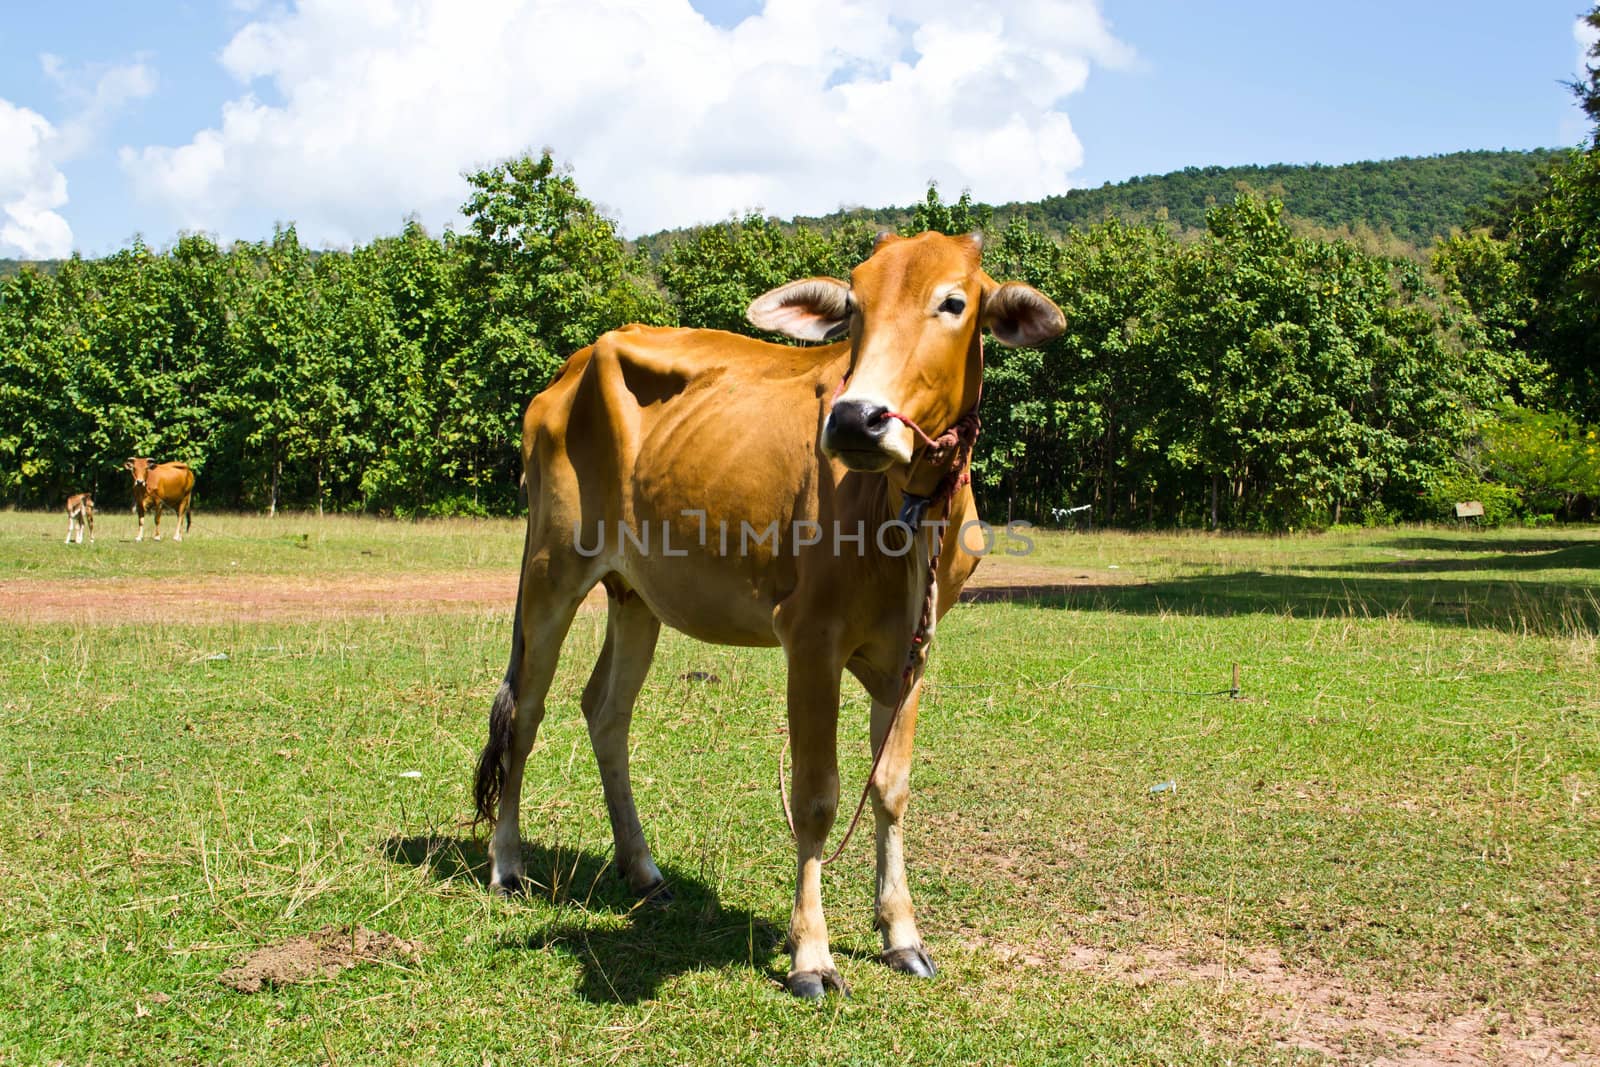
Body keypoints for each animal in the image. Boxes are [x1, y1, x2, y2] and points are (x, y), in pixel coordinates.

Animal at [476, 230, 1062, 998]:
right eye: (854, 306)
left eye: (954, 302)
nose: (855, 418)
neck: (906, 514)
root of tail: (571, 367)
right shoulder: (809, 638)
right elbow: (816, 796)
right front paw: (811, 953)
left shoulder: (914, 649)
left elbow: (890, 788)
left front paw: (902, 934)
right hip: (551, 568)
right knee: (527, 709)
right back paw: (507, 864)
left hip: (636, 594)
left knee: (605, 708)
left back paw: (643, 869)